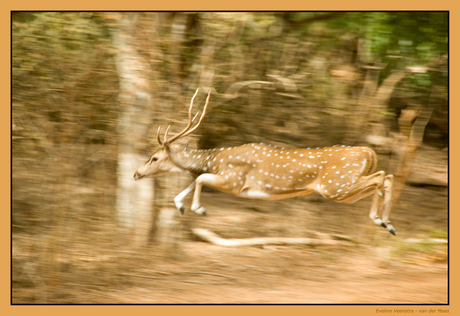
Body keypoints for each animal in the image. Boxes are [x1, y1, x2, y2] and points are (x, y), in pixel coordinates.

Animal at [133, 89, 396, 235]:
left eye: (154, 157)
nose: (136, 173)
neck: (215, 160)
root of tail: (368, 152)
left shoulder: (234, 181)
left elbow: (199, 178)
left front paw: (200, 208)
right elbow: (194, 178)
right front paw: (180, 205)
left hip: (336, 185)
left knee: (382, 177)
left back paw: (381, 220)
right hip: (343, 189)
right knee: (386, 177)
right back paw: (387, 223)